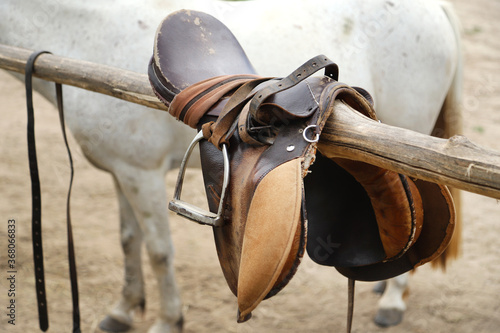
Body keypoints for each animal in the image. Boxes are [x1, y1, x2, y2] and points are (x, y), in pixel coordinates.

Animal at [0, 0, 460, 330]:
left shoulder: (141, 172)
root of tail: (436, 7)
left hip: (407, 132)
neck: (85, 38)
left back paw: (392, 301)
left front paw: (168, 321)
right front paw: (122, 311)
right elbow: (129, 241)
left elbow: (158, 251)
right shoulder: (121, 169)